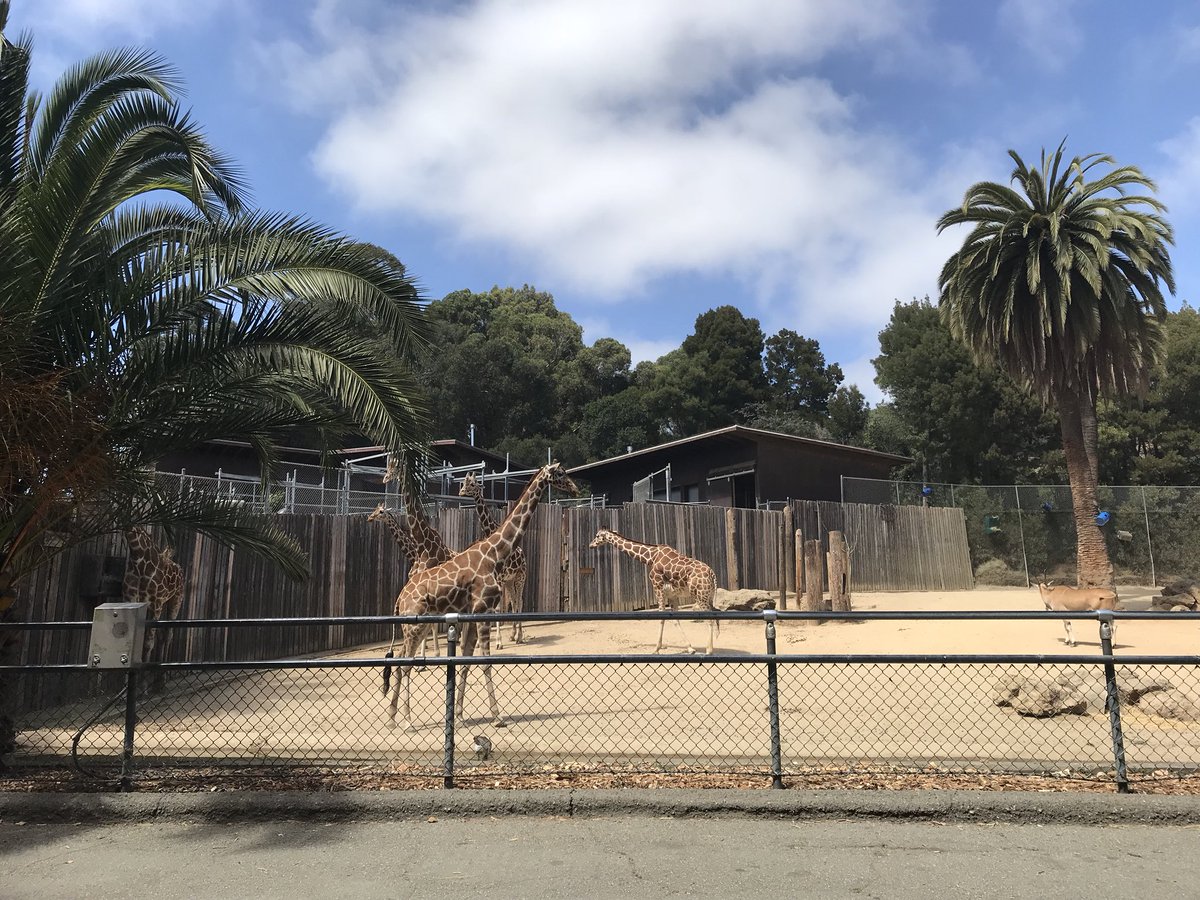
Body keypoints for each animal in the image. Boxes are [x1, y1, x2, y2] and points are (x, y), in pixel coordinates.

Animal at [122, 528, 185, 673]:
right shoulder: (130, 600)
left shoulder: (156, 604)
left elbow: (148, 643)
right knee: (162, 634)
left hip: (176, 600)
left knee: (168, 634)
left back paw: (163, 672)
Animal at [458, 472, 526, 648]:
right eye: (464, 483)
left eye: (473, 484)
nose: (461, 492)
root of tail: (523, 554)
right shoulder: (499, 579)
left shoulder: (499, 579)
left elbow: (498, 608)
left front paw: (498, 642)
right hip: (510, 580)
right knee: (514, 601)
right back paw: (514, 635)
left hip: (520, 577)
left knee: (519, 601)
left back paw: (520, 636)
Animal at [588, 528, 719, 655]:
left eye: (597, 535)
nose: (591, 545)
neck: (650, 557)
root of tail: (712, 574)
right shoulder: (672, 595)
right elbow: (675, 620)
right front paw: (690, 648)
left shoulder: (658, 587)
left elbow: (661, 617)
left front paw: (656, 649)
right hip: (708, 596)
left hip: (700, 596)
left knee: (710, 619)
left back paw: (709, 650)